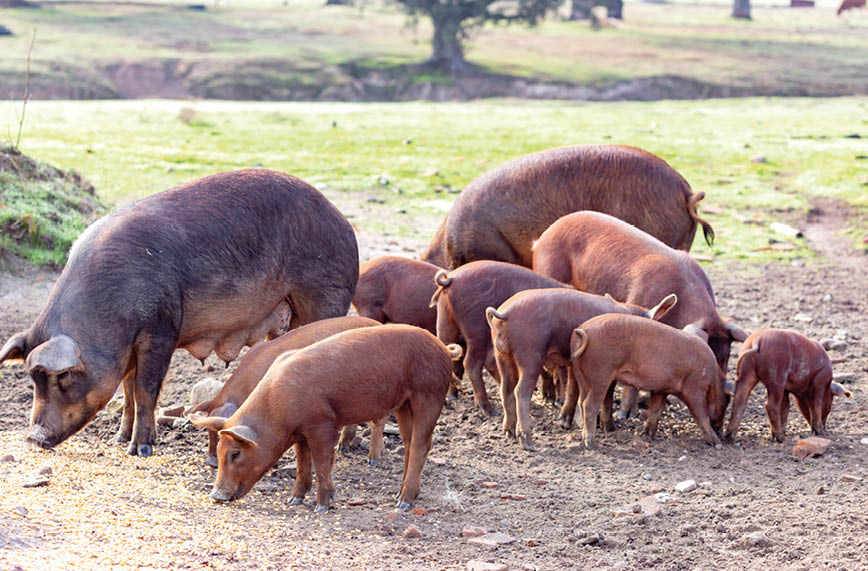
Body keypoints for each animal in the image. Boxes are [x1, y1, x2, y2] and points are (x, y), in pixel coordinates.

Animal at [0, 169, 359, 457]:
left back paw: (342, 448)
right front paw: (119, 440)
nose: (33, 437)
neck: (107, 318)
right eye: (33, 380)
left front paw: (140, 450)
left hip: (324, 297)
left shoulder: (161, 330)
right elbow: (127, 390)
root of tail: (344, 223)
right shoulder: (129, 348)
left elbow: (145, 390)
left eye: (62, 378)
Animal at [429, 261, 568, 415]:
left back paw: (452, 397)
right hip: (477, 329)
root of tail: (451, 279)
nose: (560, 402)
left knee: (453, 356)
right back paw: (490, 410)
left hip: (445, 323)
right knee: (472, 364)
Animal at [485, 289, 677, 450]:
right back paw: (527, 442)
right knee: (521, 391)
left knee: (505, 389)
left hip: (502, 354)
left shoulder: (575, 364)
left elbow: (573, 390)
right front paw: (610, 428)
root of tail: (505, 313)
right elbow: (607, 396)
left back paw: (508, 433)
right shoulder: (609, 367)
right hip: (530, 354)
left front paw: (565, 424)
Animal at [570, 314, 729, 448]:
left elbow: (656, 410)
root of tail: (584, 331)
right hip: (601, 373)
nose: (721, 433)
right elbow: (701, 415)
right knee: (589, 404)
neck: (713, 380)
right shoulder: (695, 387)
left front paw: (647, 435)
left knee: (581, 402)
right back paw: (591, 444)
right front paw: (717, 444)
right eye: (724, 405)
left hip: (581, 374)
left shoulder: (662, 389)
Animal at [724, 328, 852, 443]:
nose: (826, 430)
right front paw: (820, 432)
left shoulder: (786, 389)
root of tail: (757, 340)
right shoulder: (819, 382)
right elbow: (816, 405)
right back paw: (780, 438)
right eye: (830, 401)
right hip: (776, 375)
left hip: (746, 372)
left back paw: (729, 437)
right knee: (770, 406)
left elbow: (786, 407)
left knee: (739, 401)